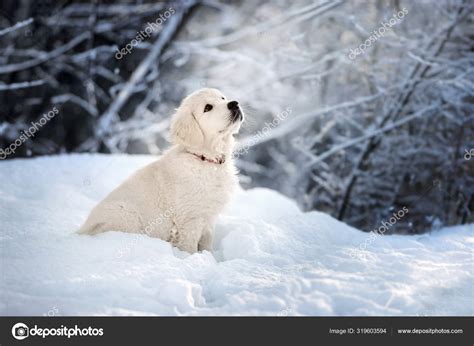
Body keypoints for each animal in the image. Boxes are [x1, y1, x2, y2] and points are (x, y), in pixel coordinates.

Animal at [78, 88, 244, 253]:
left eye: (222, 98)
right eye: (208, 108)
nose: (234, 103)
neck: (205, 158)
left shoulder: (209, 216)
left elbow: (207, 242)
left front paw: (208, 255)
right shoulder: (191, 217)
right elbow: (189, 245)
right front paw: (192, 257)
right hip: (126, 215)